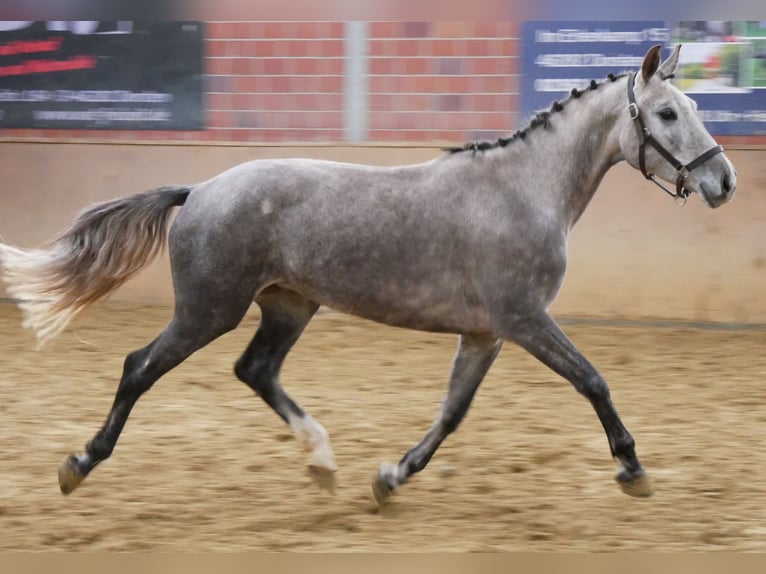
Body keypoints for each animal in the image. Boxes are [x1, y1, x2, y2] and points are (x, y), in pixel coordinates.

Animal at [0, 44, 736, 504]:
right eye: (667, 113)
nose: (724, 181)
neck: (523, 190)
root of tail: (200, 189)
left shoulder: (486, 334)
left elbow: (452, 414)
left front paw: (389, 479)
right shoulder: (526, 320)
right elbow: (593, 380)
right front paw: (633, 470)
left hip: (288, 305)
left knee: (255, 370)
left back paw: (322, 462)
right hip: (209, 310)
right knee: (139, 367)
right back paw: (78, 464)